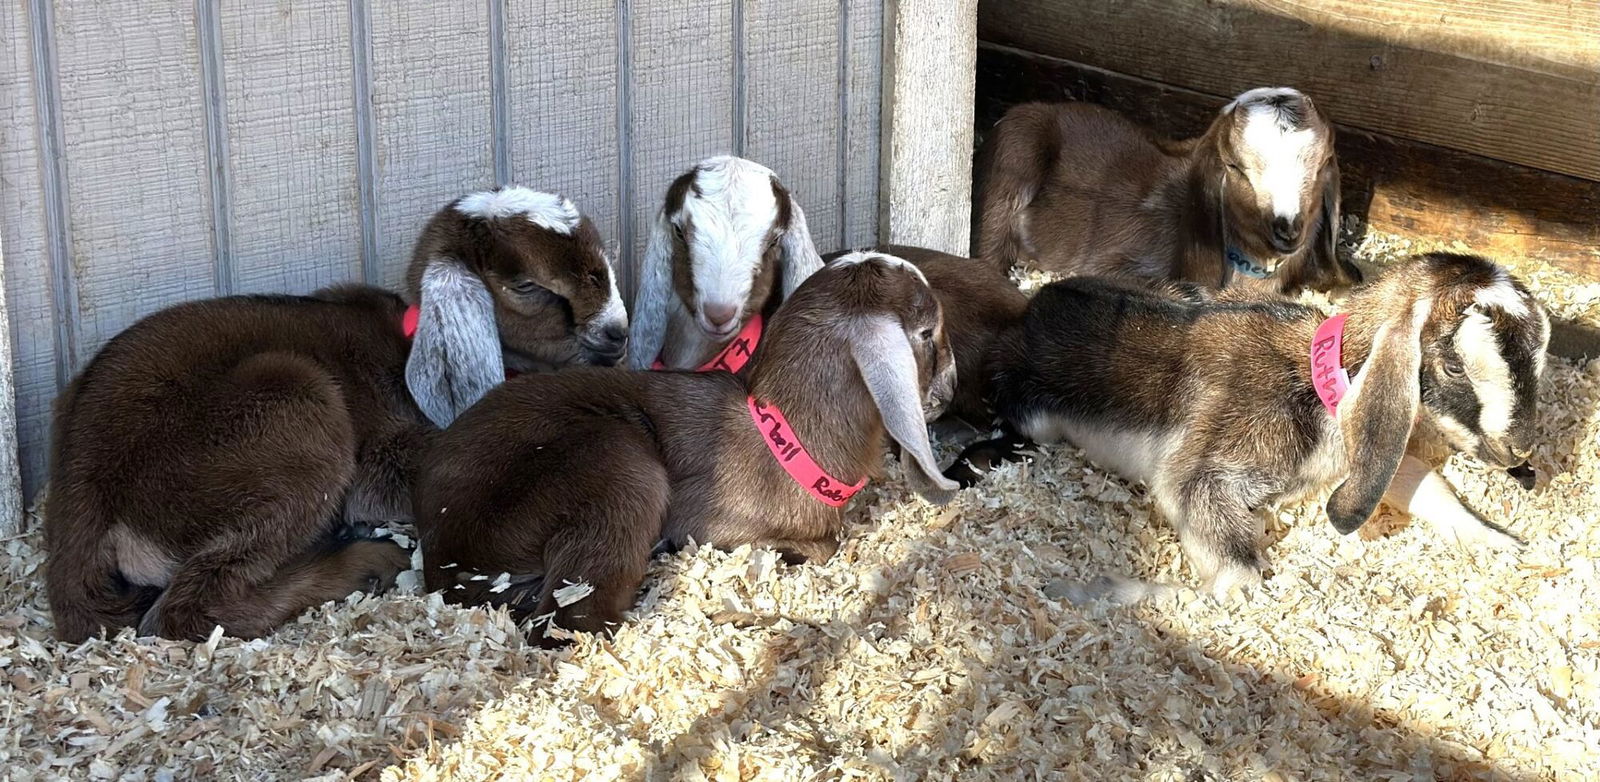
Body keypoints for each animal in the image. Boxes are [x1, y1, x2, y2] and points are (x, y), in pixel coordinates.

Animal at [44, 187, 626, 641]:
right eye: (529, 286)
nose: (617, 335)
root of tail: (81, 502)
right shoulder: (383, 463)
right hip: (292, 411)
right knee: (188, 609)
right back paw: (366, 563)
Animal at [416, 252, 959, 645]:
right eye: (927, 332)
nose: (952, 385)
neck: (785, 435)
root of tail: (444, 561)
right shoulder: (712, 522)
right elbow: (823, 546)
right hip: (619, 465)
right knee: (567, 623)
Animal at [950, 253, 1549, 602]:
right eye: (1453, 366)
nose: (1519, 450)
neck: (1314, 386)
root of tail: (1031, 308)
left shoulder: (1363, 460)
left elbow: (1433, 489)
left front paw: (1504, 542)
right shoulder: (1200, 470)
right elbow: (1235, 583)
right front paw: (1090, 590)